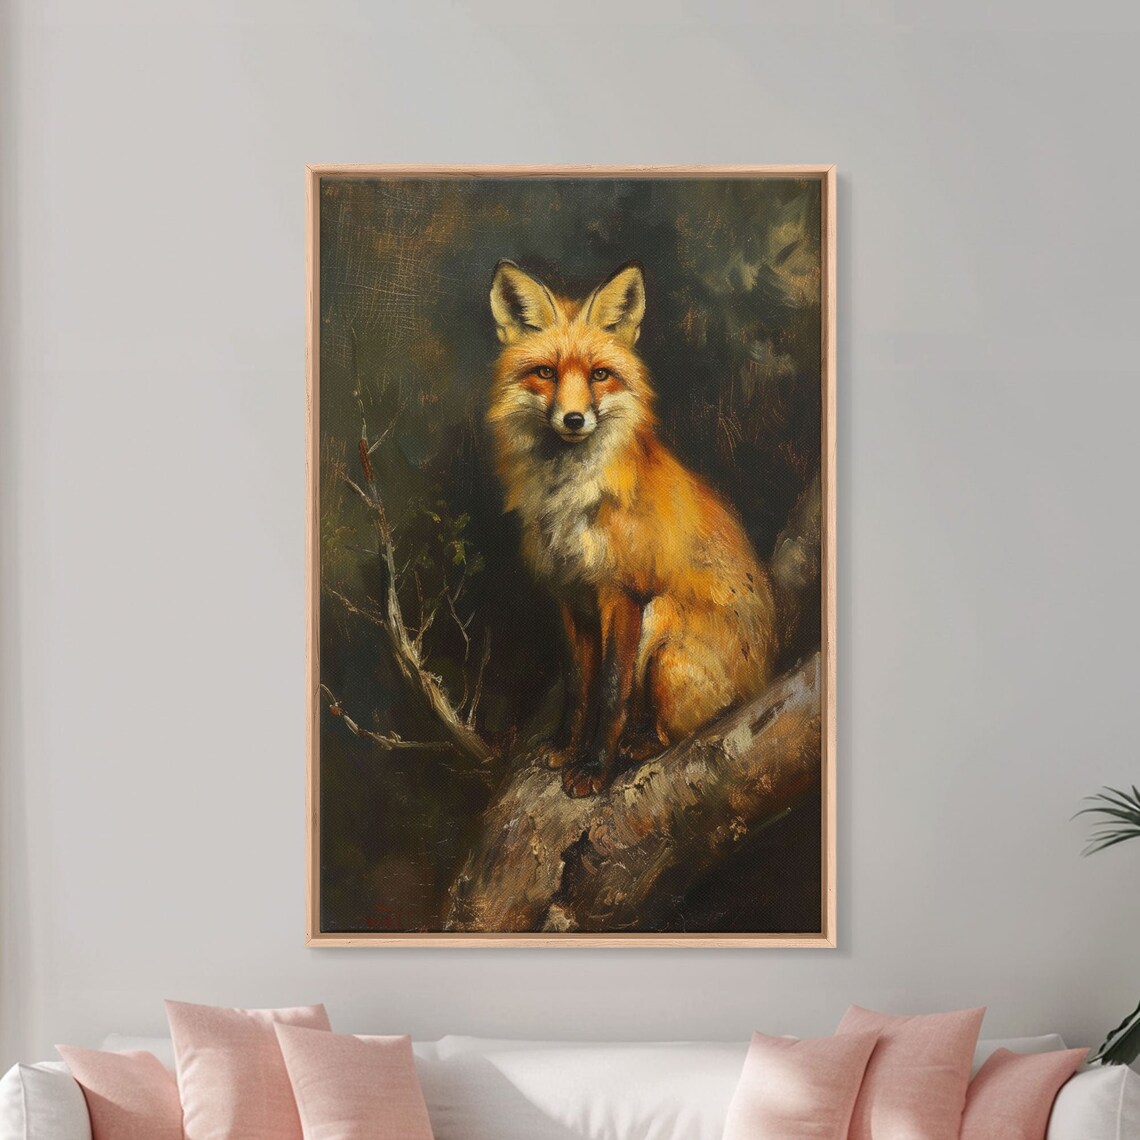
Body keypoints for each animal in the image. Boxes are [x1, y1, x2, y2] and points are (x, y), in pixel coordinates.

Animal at [487, 260, 779, 797]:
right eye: (546, 373)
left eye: (600, 375)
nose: (574, 419)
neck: (571, 503)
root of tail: (763, 681)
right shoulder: (569, 597)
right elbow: (578, 685)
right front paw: (567, 748)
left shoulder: (623, 592)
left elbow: (611, 691)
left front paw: (594, 768)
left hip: (660, 629)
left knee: (680, 729)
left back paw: (638, 743)